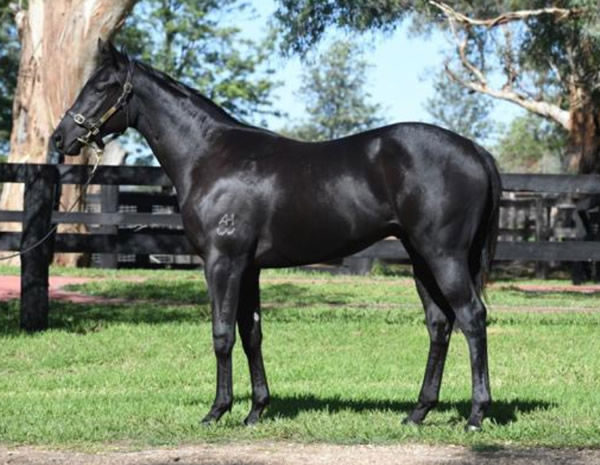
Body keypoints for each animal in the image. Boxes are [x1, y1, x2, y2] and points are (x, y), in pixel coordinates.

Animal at [52, 41, 502, 430]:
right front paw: (256, 411)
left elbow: (222, 334)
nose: (60, 138)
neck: (209, 156)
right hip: (421, 258)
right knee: (440, 324)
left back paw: (477, 415)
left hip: (443, 255)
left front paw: (217, 411)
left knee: (471, 317)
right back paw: (418, 412)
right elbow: (251, 334)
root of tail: (475, 151)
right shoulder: (248, 268)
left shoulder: (222, 263)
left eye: (102, 86)